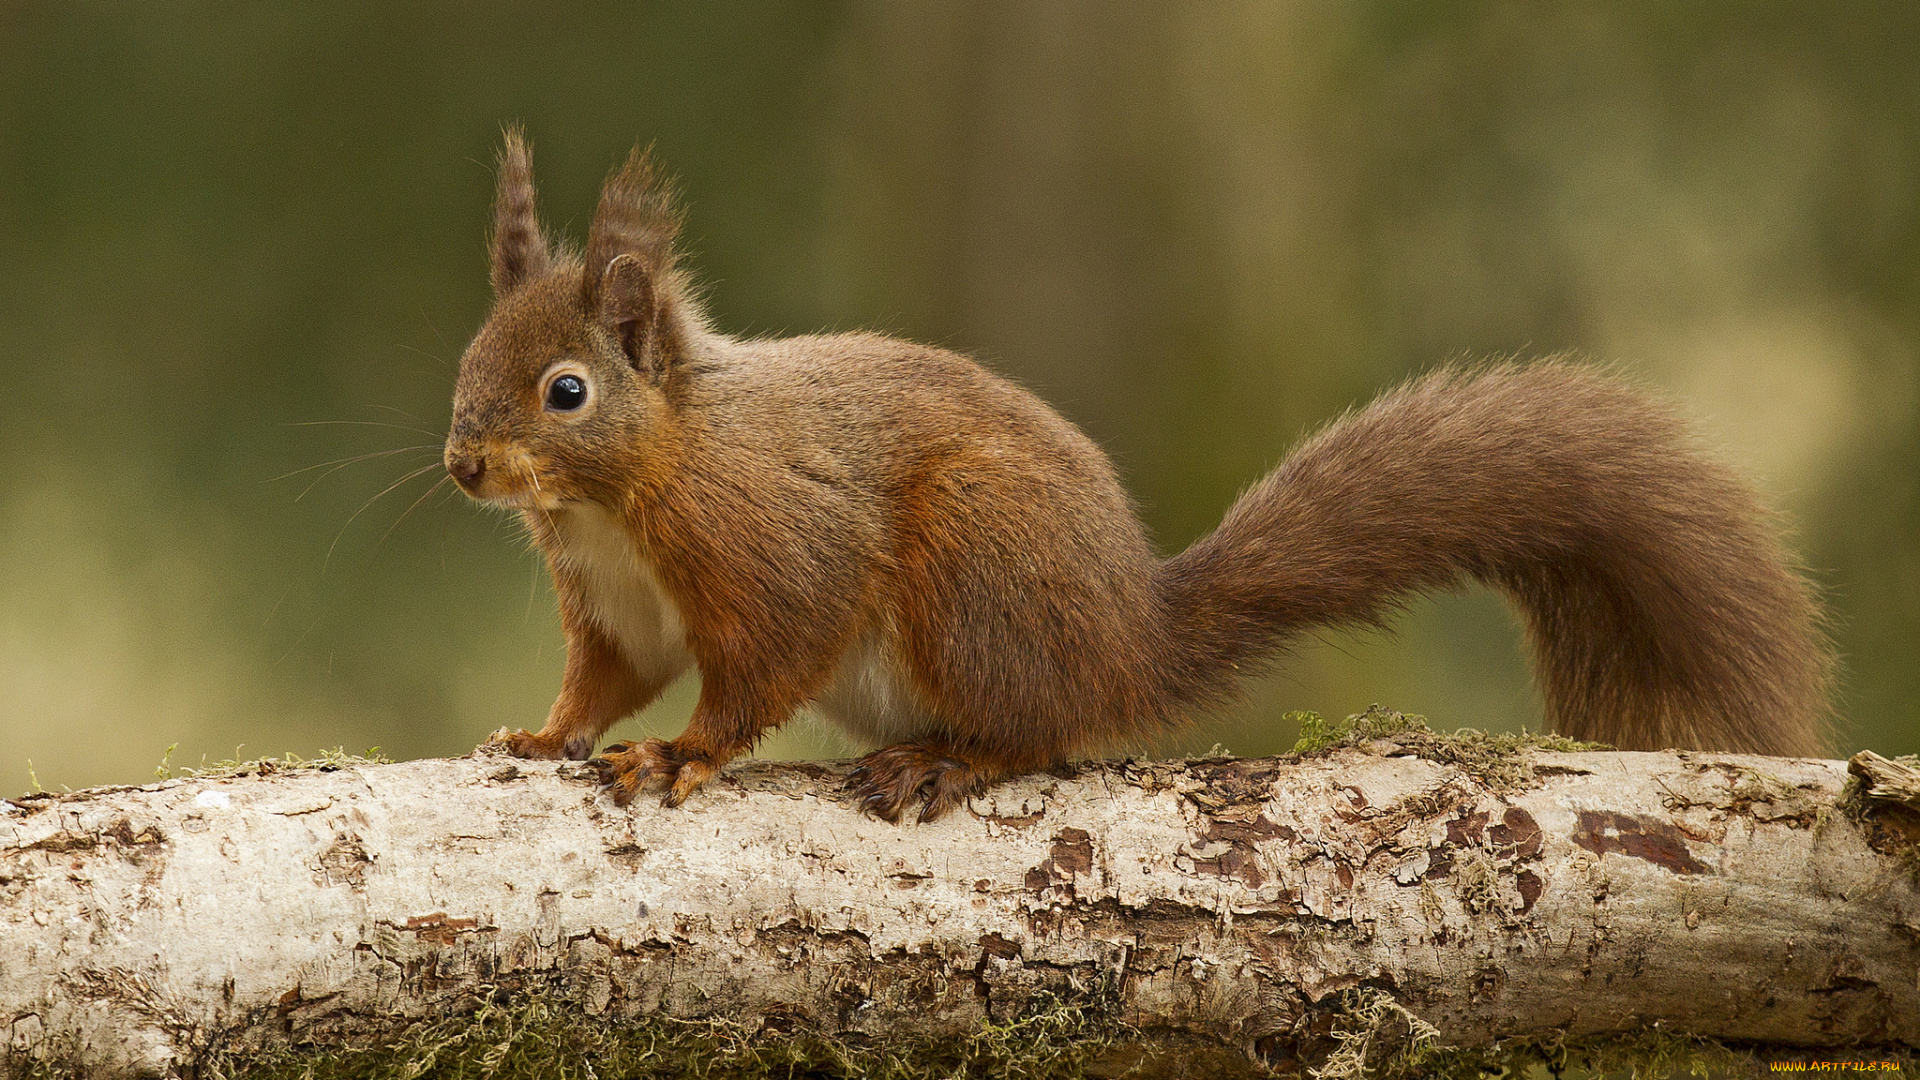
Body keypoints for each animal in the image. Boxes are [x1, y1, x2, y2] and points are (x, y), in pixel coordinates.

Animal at [445, 132, 1827, 822]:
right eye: (468, 358)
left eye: (567, 391)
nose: (463, 466)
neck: (619, 499)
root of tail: (1130, 636)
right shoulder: (615, 603)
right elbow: (610, 676)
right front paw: (544, 734)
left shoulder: (769, 542)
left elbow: (761, 661)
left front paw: (682, 759)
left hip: (977, 569)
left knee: (1041, 731)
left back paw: (949, 762)